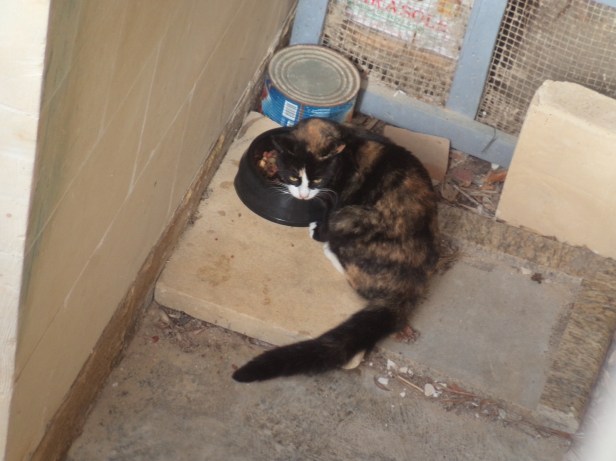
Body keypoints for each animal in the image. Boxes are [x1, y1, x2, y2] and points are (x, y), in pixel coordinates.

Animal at [232, 118, 442, 382]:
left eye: (317, 181)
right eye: (293, 176)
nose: (303, 195)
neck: (346, 143)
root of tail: (411, 286)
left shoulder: (335, 202)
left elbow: (326, 219)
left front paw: (317, 230)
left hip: (350, 216)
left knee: (356, 278)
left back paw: (329, 249)